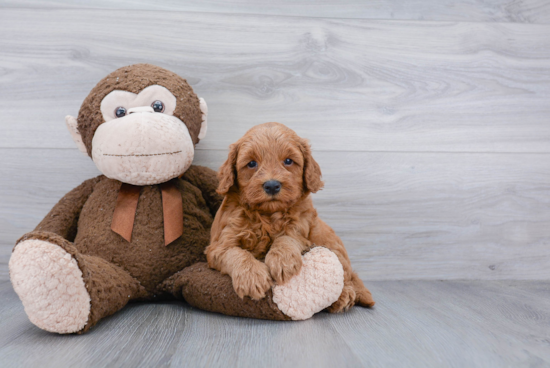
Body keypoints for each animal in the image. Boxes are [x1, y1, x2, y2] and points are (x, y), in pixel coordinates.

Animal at [205, 122, 378, 312]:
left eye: (288, 161)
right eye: (251, 163)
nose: (272, 185)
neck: (267, 215)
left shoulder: (301, 229)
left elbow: (287, 238)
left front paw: (282, 261)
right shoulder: (219, 245)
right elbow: (235, 253)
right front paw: (252, 277)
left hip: (331, 243)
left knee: (346, 275)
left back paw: (343, 296)